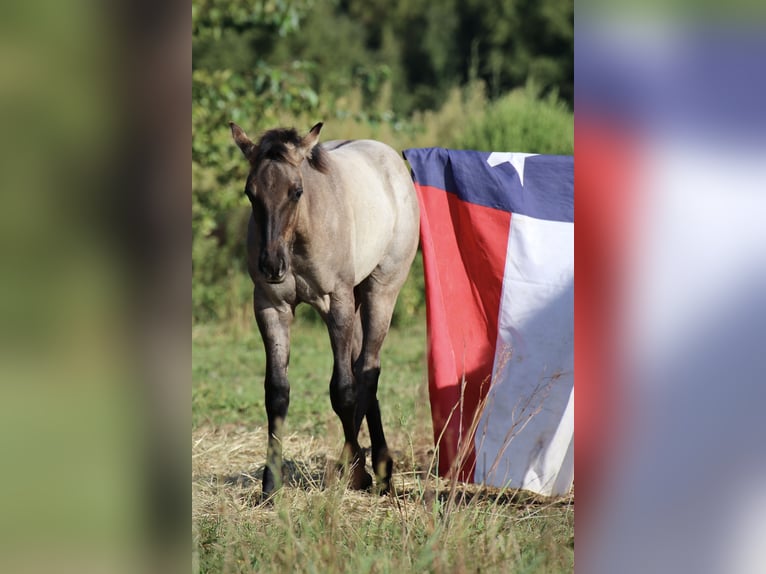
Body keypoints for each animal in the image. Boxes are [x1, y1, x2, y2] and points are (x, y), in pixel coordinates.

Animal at [230, 119, 420, 498]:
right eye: (250, 192)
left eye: (296, 191)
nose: (272, 265)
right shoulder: (271, 307)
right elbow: (277, 392)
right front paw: (270, 486)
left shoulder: (336, 304)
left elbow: (343, 391)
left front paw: (356, 472)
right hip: (357, 296)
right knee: (363, 367)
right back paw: (381, 467)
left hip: (380, 290)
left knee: (368, 370)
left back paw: (372, 469)